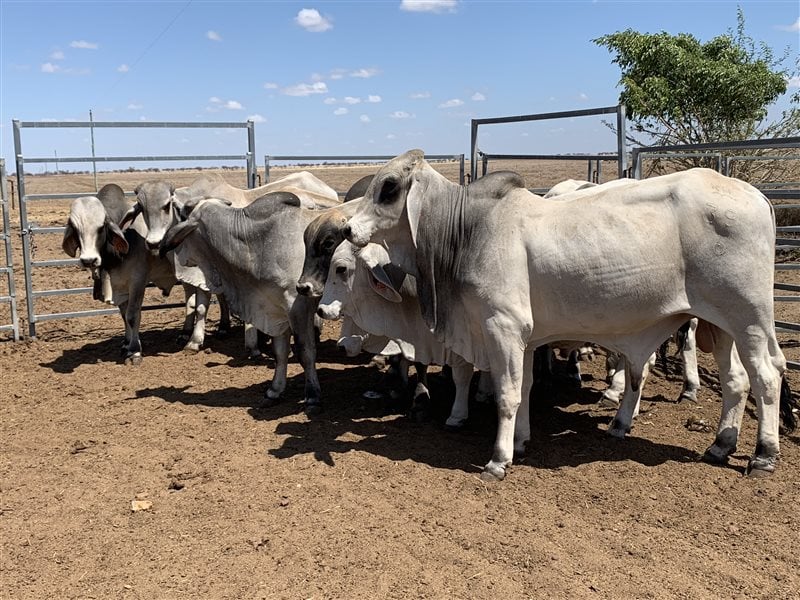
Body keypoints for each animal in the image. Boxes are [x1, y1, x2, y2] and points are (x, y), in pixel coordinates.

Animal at [62, 183, 181, 365]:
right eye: (75, 228)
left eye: (101, 227)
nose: (89, 260)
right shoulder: (120, 286)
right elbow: (124, 316)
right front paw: (126, 344)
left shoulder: (137, 282)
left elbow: (133, 315)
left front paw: (134, 351)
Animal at [344, 149, 793, 480]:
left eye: (389, 187)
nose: (348, 228)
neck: (467, 231)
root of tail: (756, 195)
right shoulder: (525, 339)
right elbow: (524, 389)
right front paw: (521, 442)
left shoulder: (503, 328)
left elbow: (506, 395)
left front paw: (498, 459)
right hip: (720, 324)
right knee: (736, 381)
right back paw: (720, 445)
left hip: (749, 317)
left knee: (767, 374)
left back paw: (763, 455)